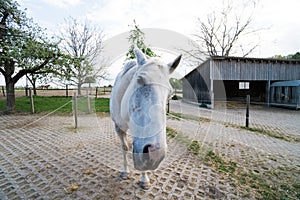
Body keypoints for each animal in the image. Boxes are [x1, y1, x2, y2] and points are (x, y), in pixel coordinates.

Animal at [109, 47, 180, 188]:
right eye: (139, 80)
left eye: (170, 94)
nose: (156, 154)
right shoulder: (118, 128)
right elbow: (125, 148)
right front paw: (125, 172)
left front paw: (144, 179)